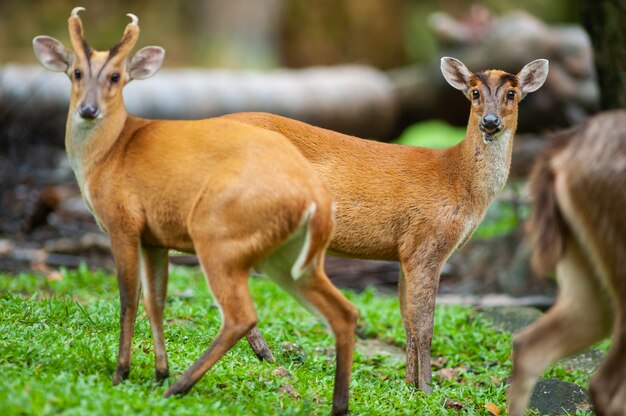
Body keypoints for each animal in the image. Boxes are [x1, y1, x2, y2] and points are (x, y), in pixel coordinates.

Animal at [31, 8, 356, 414]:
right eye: (76, 72)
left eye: (116, 76)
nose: (89, 110)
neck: (109, 154)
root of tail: (317, 197)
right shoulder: (154, 238)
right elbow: (155, 301)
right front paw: (158, 372)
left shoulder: (123, 222)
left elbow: (128, 298)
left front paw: (122, 373)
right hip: (289, 257)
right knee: (345, 312)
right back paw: (338, 405)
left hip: (218, 235)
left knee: (241, 315)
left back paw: (180, 387)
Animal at [224, 54, 544, 390]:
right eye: (475, 93)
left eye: (512, 93)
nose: (490, 122)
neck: (459, 180)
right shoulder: (426, 242)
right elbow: (424, 324)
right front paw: (427, 388)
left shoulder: (405, 252)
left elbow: (407, 320)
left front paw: (409, 384)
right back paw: (264, 352)